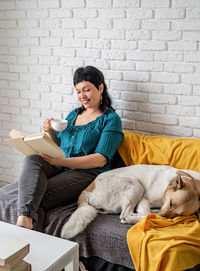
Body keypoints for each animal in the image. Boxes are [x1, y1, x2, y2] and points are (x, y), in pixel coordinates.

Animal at [61, 166, 200, 240]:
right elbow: (147, 214)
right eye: (171, 203)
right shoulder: (144, 199)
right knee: (125, 214)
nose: (162, 217)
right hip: (135, 184)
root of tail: (87, 190)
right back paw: (129, 218)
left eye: (179, 215)